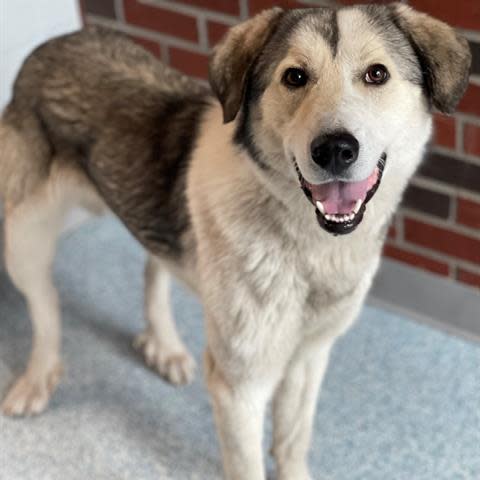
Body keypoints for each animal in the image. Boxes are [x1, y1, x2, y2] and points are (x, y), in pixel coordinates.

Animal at [0, 3, 470, 480]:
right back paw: (38, 377)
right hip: (23, 238)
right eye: (295, 77)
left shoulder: (309, 357)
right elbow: (248, 463)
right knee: (45, 307)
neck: (309, 246)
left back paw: (164, 346)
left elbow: (293, 441)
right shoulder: (239, 384)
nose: (335, 150)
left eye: (377, 74)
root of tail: (51, 44)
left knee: (154, 264)